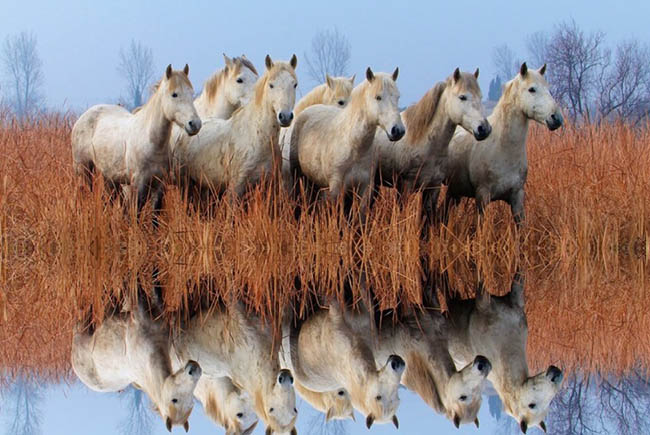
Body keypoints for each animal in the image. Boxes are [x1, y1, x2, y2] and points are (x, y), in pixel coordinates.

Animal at [71, 64, 200, 213]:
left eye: (191, 93)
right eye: (174, 94)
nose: (195, 124)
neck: (151, 141)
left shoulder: (159, 184)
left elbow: (155, 213)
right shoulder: (138, 184)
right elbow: (135, 212)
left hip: (110, 177)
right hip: (83, 170)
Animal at [442, 63, 560, 227]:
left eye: (548, 88)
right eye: (532, 89)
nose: (556, 118)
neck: (503, 148)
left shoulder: (517, 198)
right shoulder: (482, 196)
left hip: (454, 190)